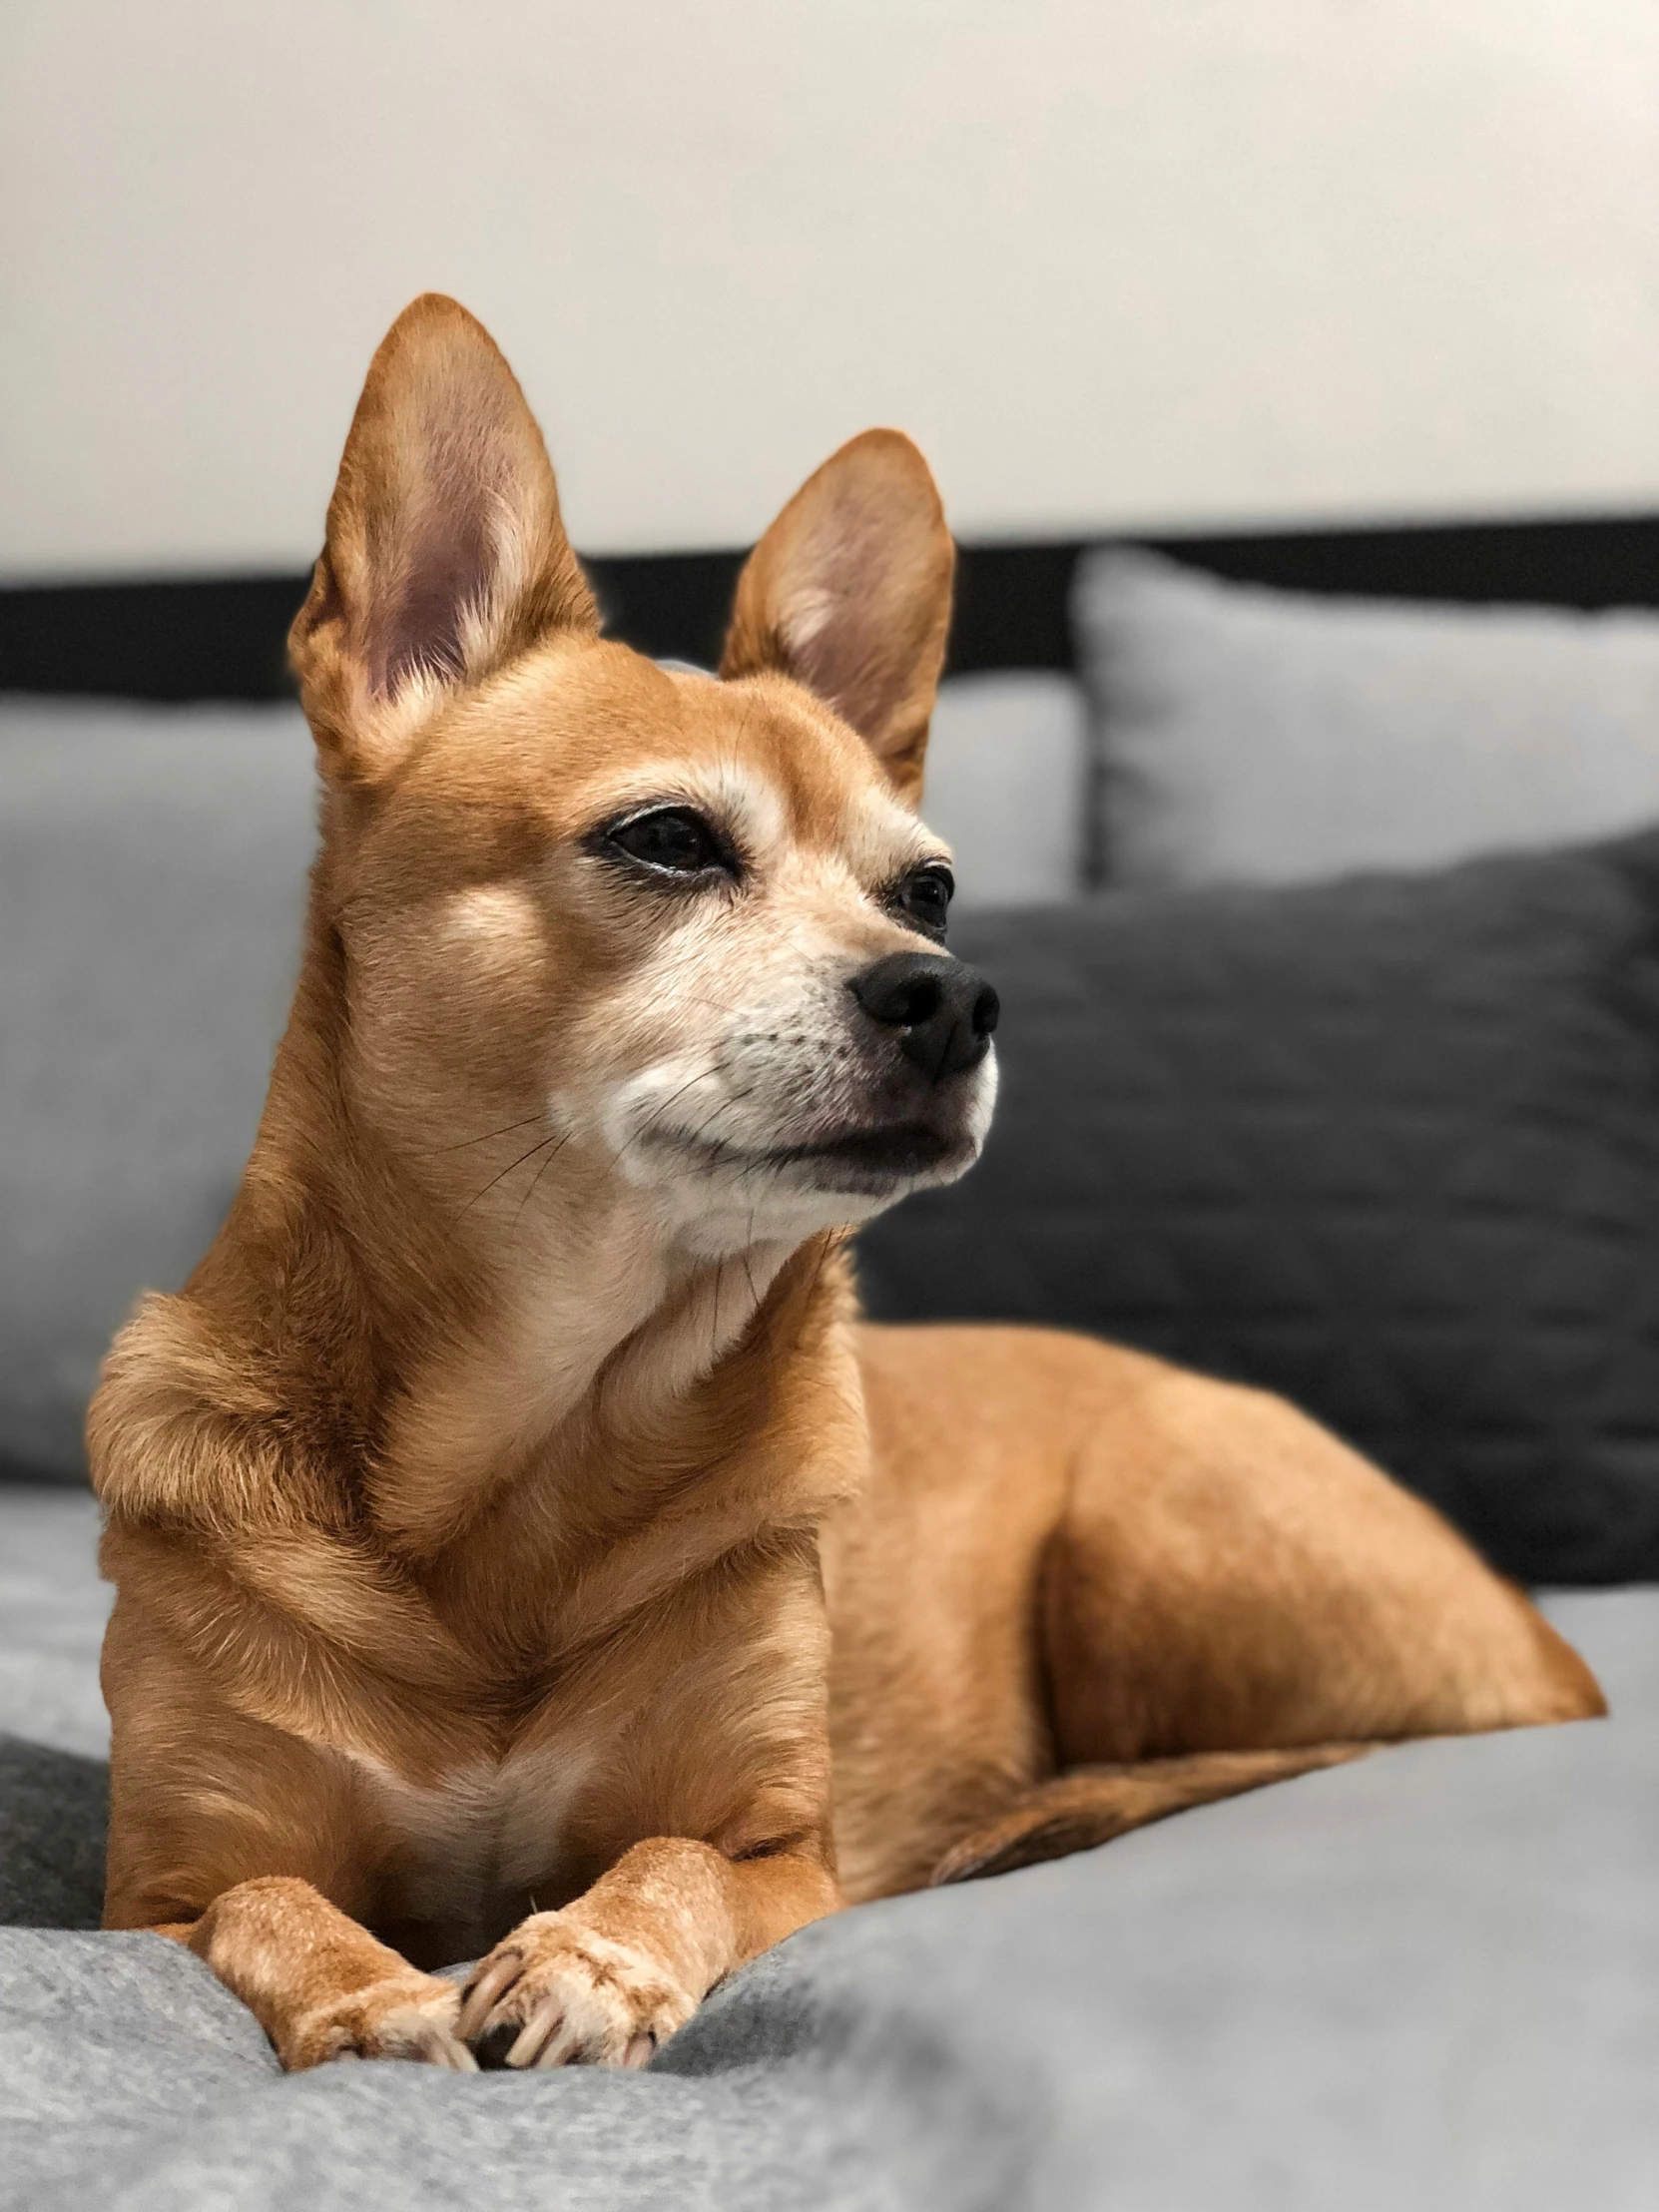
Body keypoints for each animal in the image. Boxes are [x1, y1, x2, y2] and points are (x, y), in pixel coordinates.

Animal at [90, 293, 1610, 2070]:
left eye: (927, 890)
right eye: (670, 840)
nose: (951, 995)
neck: (534, 1439)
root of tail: (1554, 1651)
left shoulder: (783, 1852)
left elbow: (676, 1859)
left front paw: (595, 1955)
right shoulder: (161, 1887)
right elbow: (266, 1904)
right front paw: (370, 1996)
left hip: (1146, 1525)